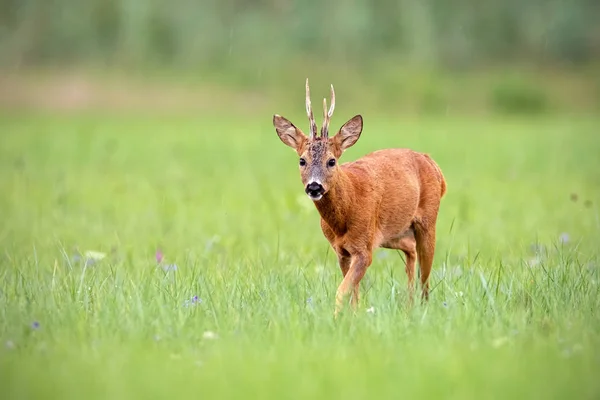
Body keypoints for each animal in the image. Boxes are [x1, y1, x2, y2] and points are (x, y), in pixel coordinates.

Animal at [274, 78, 446, 316]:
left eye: (332, 161)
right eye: (302, 160)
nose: (314, 187)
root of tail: (432, 163)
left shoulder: (364, 248)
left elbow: (342, 291)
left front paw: (336, 318)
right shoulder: (342, 250)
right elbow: (353, 293)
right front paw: (353, 316)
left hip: (428, 220)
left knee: (426, 276)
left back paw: (422, 309)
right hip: (393, 233)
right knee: (410, 250)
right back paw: (409, 306)